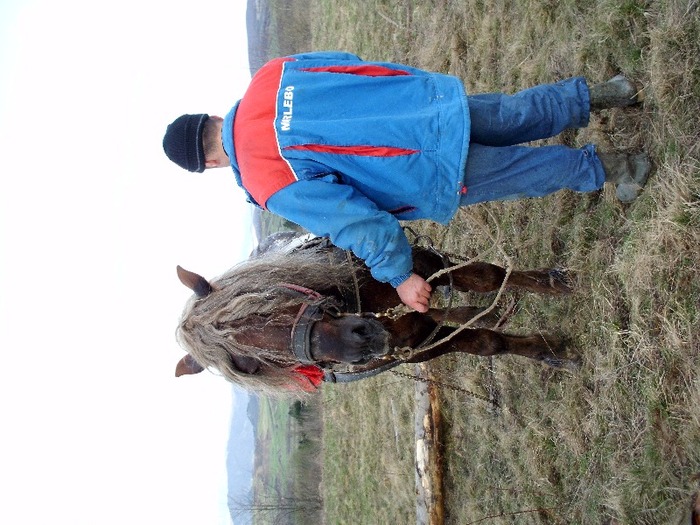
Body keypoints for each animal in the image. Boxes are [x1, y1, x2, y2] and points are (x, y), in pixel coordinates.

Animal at [174, 231, 576, 396]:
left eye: (265, 302)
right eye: (251, 367)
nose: (360, 343)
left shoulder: (421, 265)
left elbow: (487, 277)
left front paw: (551, 286)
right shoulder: (414, 345)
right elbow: (483, 343)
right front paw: (545, 349)